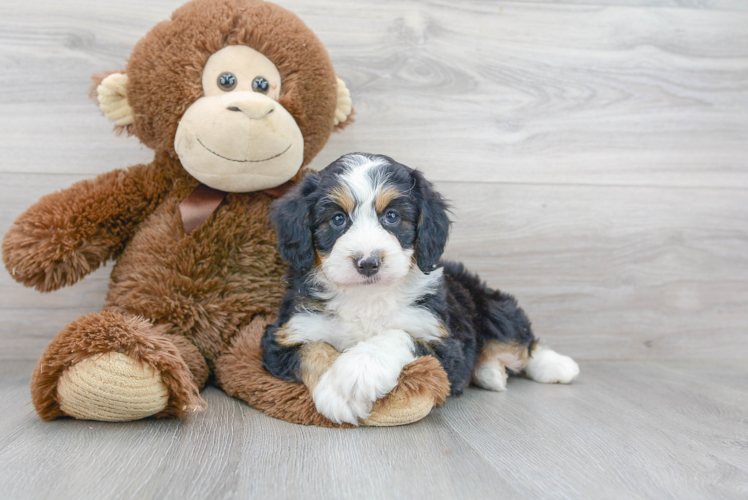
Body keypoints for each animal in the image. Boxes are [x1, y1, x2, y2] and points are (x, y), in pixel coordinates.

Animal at [260, 153, 580, 426]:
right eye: (338, 219)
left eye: (391, 217)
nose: (368, 263)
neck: (367, 298)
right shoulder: (285, 335)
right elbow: (313, 348)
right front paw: (336, 391)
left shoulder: (444, 345)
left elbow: (397, 335)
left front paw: (355, 373)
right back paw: (490, 372)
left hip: (495, 309)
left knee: (521, 344)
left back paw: (556, 366)